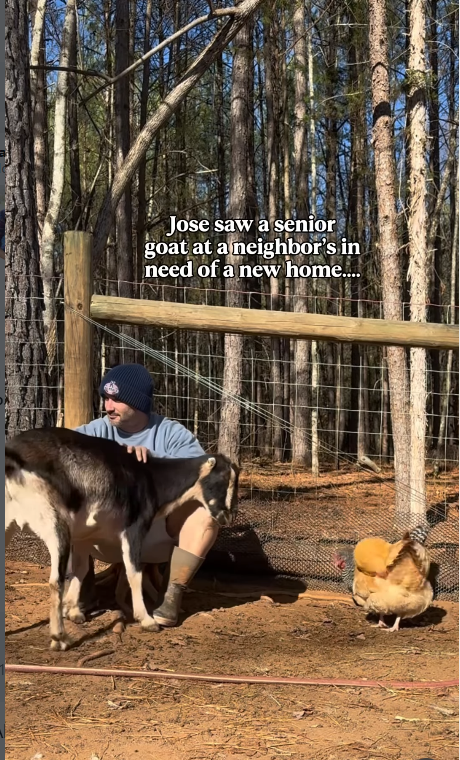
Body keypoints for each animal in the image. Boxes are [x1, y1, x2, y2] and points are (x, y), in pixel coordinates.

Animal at [5, 427, 239, 650]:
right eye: (220, 481)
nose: (226, 517)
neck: (151, 478)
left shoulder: (82, 536)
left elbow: (81, 570)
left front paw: (72, 610)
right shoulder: (134, 528)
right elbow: (134, 572)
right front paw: (146, 620)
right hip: (54, 522)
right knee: (55, 581)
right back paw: (59, 638)